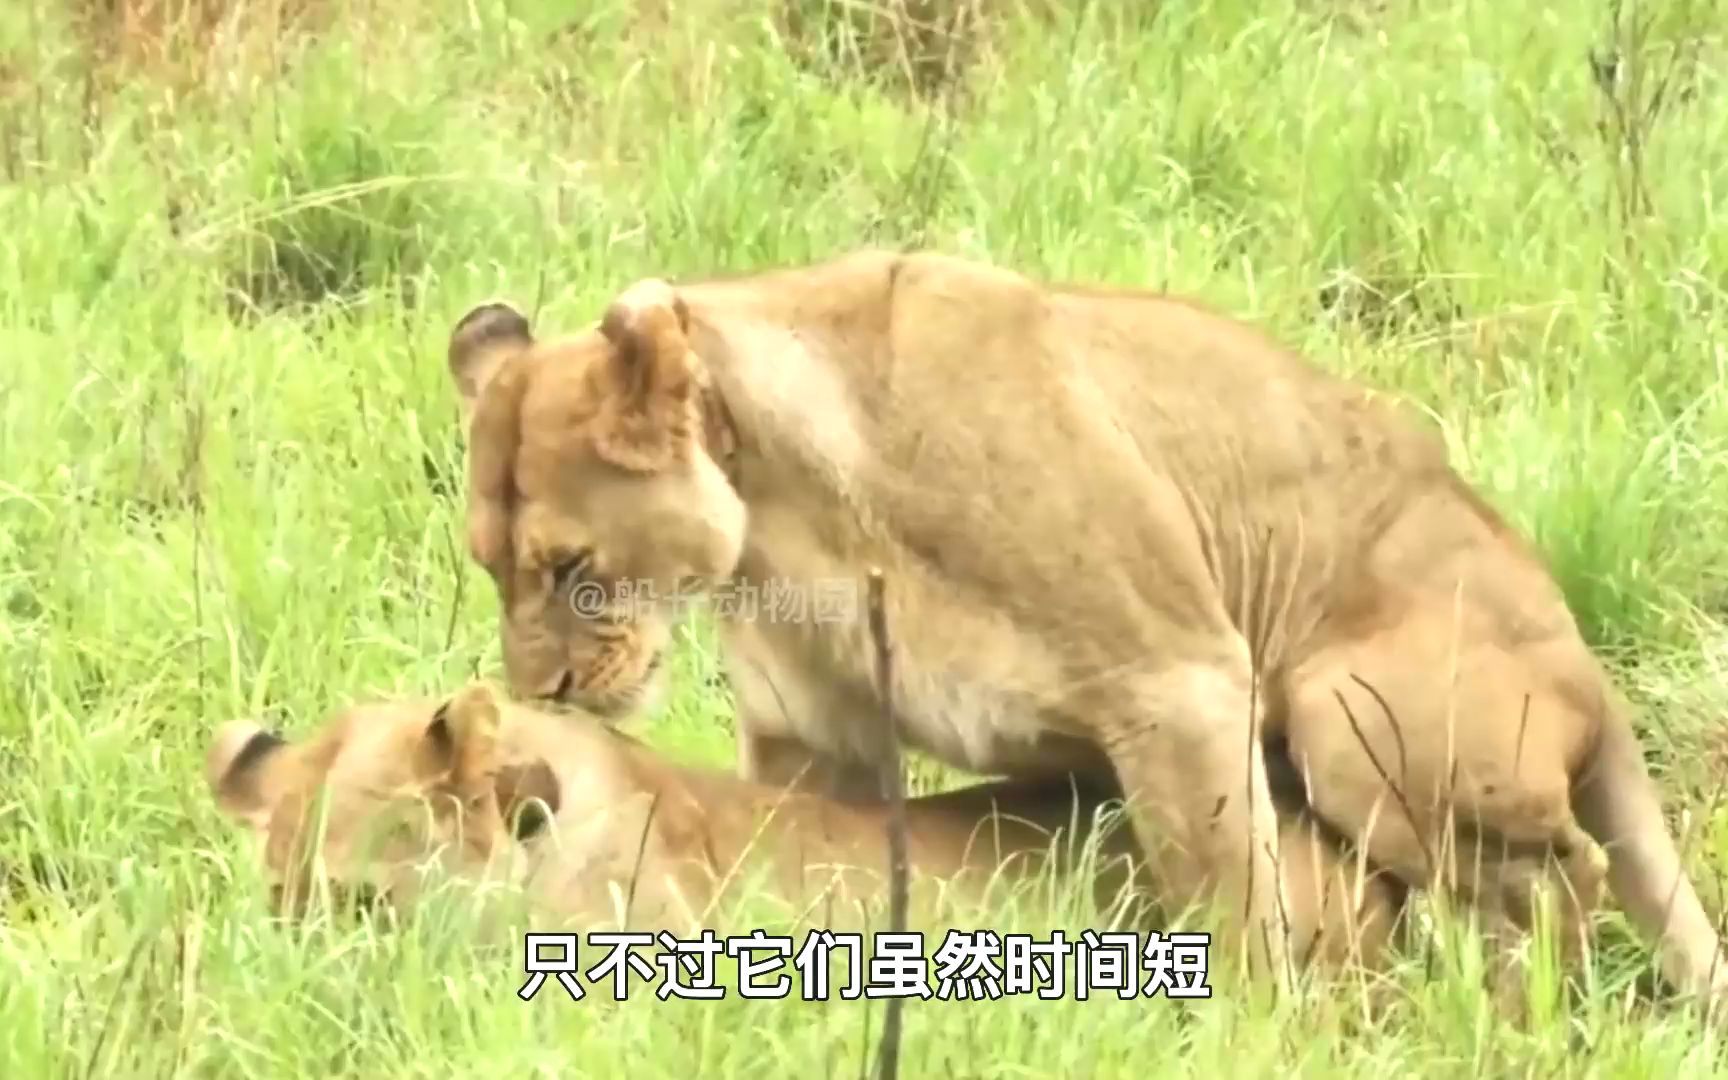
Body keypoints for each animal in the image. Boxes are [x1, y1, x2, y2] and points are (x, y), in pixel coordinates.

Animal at [442, 247, 1728, 1002]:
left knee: (1568, 878)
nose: (545, 692)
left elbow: (1231, 912)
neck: (785, 526)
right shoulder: (815, 740)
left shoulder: (1183, 681)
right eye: (491, 567)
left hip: (1340, 708)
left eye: (571, 568)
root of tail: (1586, 656)